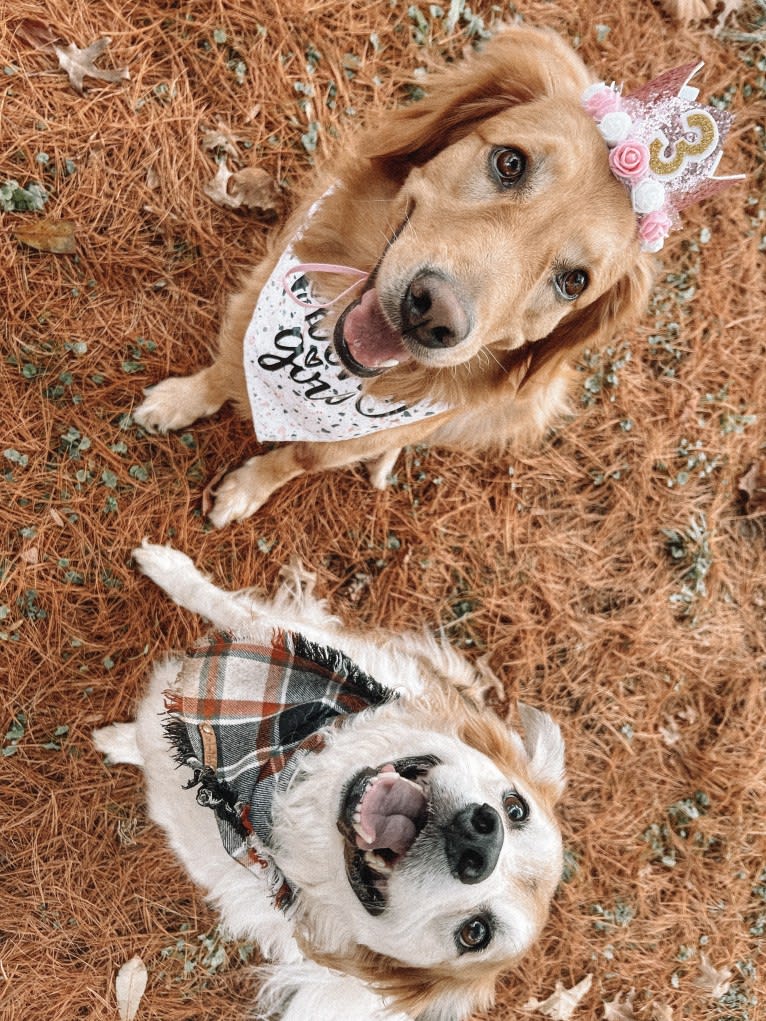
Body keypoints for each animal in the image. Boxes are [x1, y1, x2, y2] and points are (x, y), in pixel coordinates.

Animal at [92, 539, 567, 1016]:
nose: (481, 840)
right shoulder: (272, 634)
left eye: (475, 933)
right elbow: (217, 601)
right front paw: (165, 566)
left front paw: (119, 741)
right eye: (516, 808)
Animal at [134, 25, 649, 526]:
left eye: (574, 282)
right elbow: (225, 370)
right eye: (510, 162)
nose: (435, 315)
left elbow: (299, 458)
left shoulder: (355, 436)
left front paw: (247, 490)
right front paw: (181, 400)